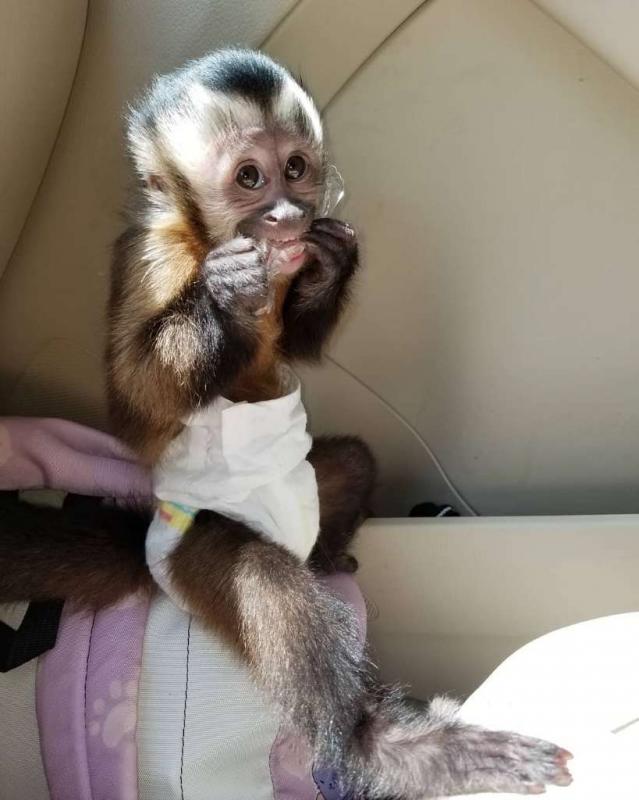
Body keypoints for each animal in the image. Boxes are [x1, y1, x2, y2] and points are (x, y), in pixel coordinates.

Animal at [0, 49, 572, 798]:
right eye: (250, 178)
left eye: (296, 168)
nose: (286, 214)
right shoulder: (150, 254)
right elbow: (135, 413)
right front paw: (228, 296)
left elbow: (301, 344)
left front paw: (330, 264)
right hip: (185, 555)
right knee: (263, 579)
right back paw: (390, 748)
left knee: (351, 464)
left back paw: (325, 556)